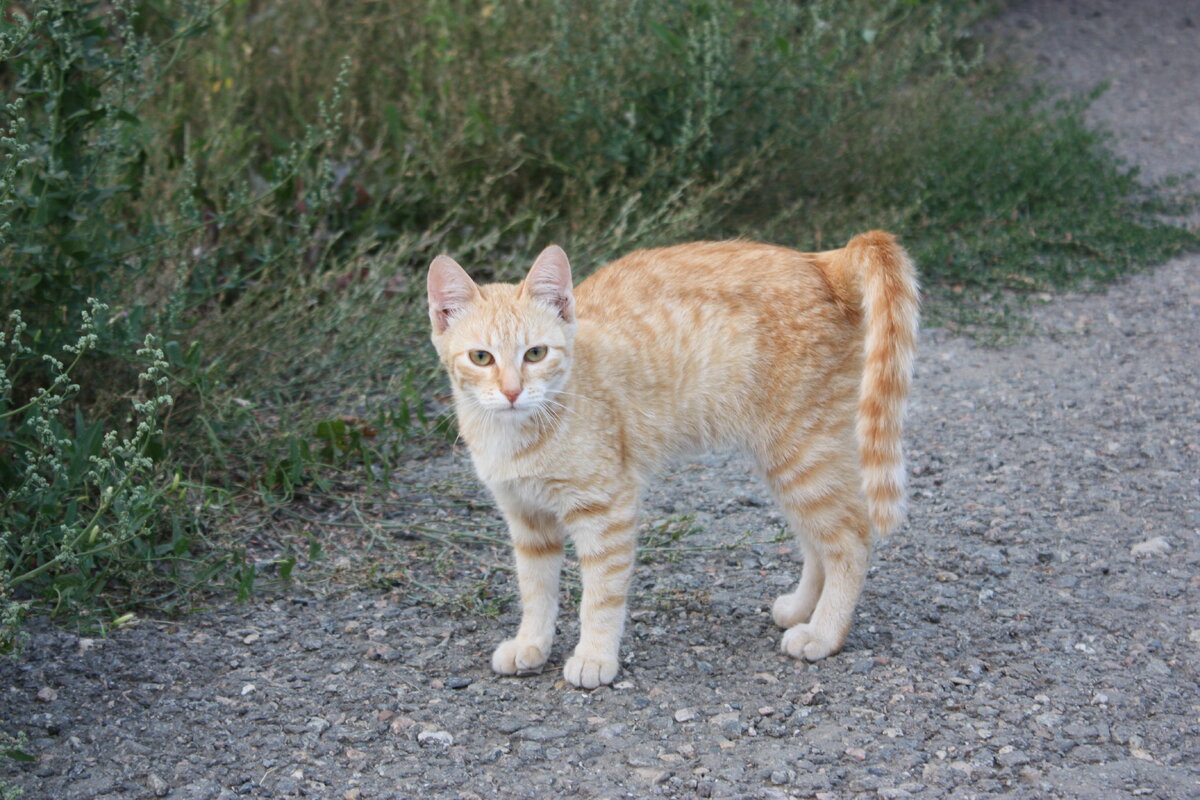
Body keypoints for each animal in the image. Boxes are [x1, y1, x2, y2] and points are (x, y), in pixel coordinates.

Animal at [429, 231, 916, 690]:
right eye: (481, 357)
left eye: (535, 353)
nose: (512, 392)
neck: (517, 434)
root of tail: (823, 261)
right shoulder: (527, 520)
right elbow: (535, 590)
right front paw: (532, 644)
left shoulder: (607, 510)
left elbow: (600, 596)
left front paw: (595, 656)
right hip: (787, 463)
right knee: (819, 541)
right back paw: (801, 609)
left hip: (801, 454)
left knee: (851, 539)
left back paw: (824, 633)